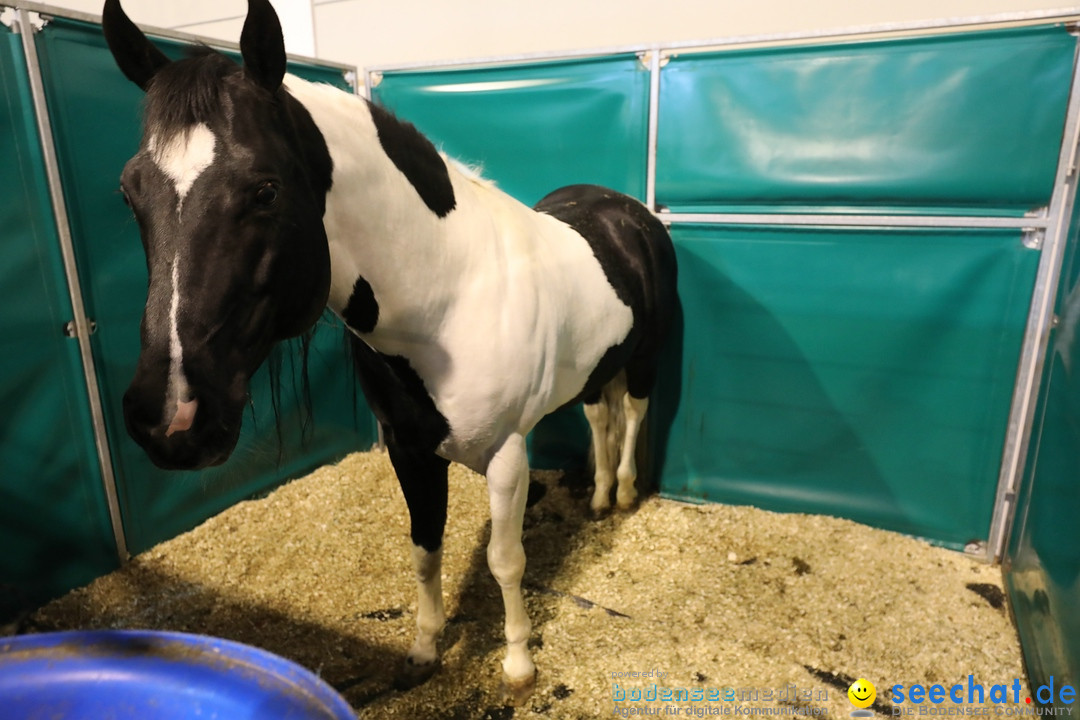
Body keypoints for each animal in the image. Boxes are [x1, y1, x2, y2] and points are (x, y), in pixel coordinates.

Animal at [101, 0, 673, 699]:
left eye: (265, 190)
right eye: (130, 192)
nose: (170, 417)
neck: (452, 295)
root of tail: (625, 214)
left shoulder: (508, 455)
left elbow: (505, 560)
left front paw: (517, 662)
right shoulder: (409, 450)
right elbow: (424, 549)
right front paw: (424, 650)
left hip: (646, 358)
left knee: (634, 413)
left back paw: (624, 494)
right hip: (598, 367)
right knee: (599, 415)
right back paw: (598, 497)